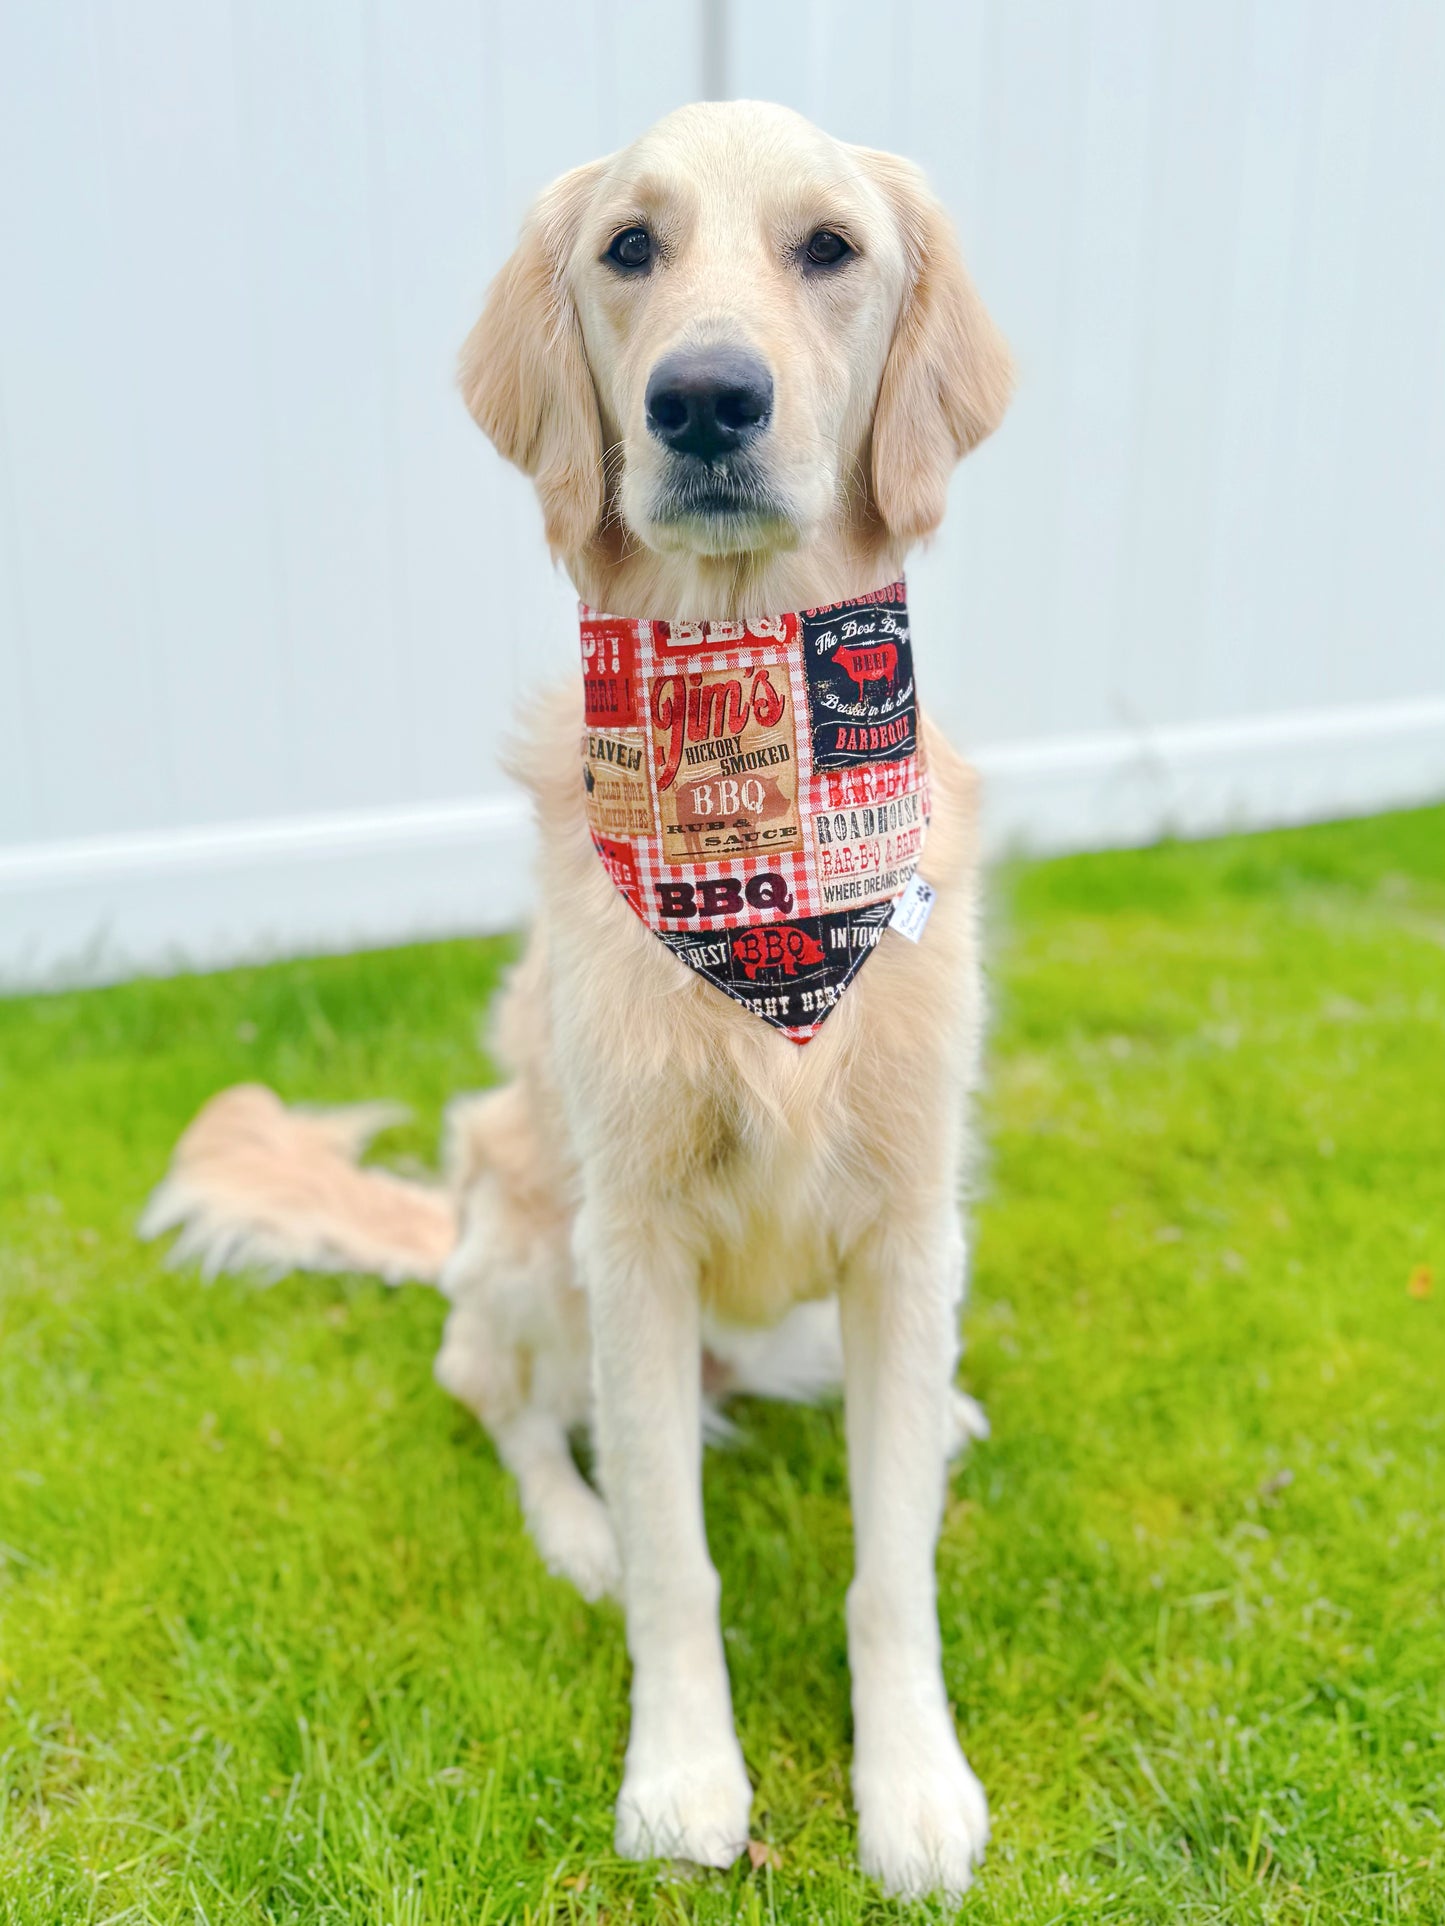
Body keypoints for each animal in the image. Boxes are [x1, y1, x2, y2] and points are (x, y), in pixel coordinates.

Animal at [144, 101, 1009, 1895]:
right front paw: (683, 1776)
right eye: (630, 248)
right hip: (529, 1224)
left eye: (830, 247)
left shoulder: (907, 1223)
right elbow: (683, 1565)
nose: (705, 398)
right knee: (494, 1393)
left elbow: (892, 1560)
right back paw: (576, 1527)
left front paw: (912, 1785)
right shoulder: (635, 1240)